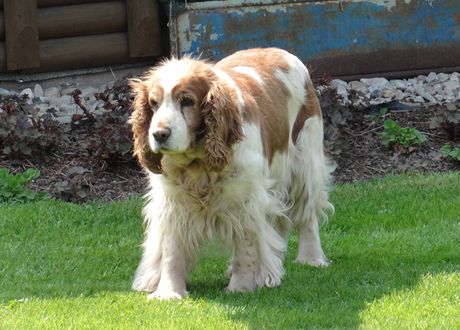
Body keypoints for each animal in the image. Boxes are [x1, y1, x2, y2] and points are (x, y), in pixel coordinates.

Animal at [129, 48, 334, 300]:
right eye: (153, 103)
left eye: (187, 101)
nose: (159, 134)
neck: (199, 163)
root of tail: (279, 50)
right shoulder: (173, 203)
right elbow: (172, 250)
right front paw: (169, 292)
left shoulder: (245, 202)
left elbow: (246, 248)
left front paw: (241, 287)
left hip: (304, 160)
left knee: (307, 217)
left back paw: (311, 258)